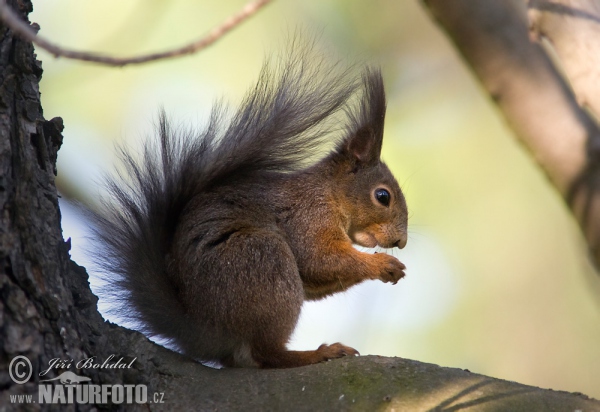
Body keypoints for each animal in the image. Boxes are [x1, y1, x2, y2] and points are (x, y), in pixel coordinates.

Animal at [90, 46, 408, 368]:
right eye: (383, 196)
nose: (401, 242)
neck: (329, 192)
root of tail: (203, 330)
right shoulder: (308, 215)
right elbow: (319, 259)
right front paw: (383, 264)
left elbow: (317, 276)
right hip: (263, 260)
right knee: (266, 353)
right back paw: (317, 353)